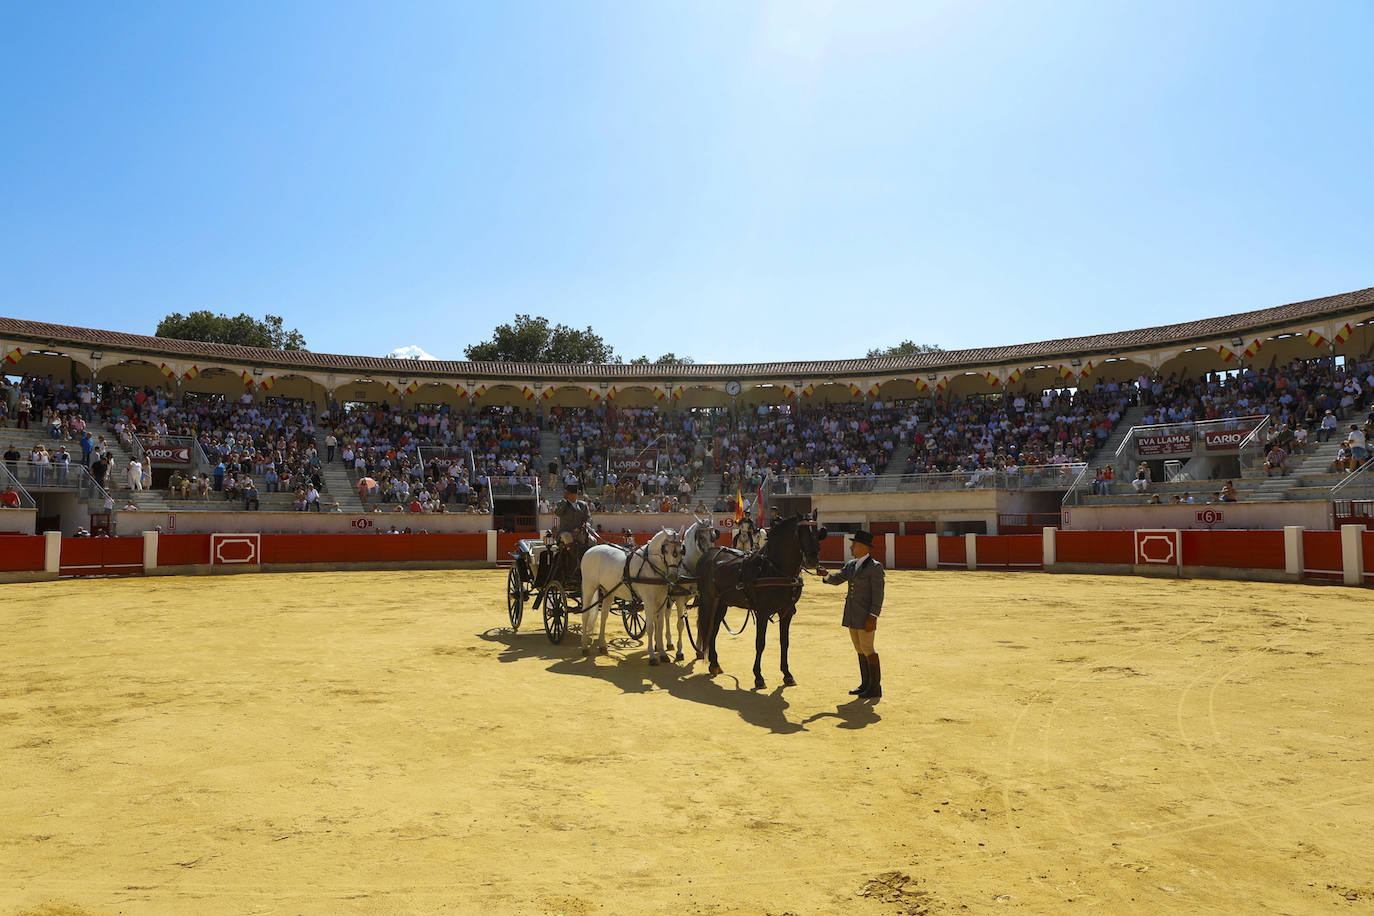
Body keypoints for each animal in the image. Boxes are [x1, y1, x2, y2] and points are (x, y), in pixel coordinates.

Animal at [582, 527, 684, 661]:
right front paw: (652, 656)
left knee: (604, 616)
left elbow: (660, 626)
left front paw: (662, 653)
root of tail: (589, 550)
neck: (651, 566)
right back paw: (585, 646)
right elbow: (650, 627)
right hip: (589, 588)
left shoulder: (661, 600)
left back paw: (602, 645)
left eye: (681, 551)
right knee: (585, 614)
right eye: (665, 550)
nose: (672, 576)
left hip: (608, 591)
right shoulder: (648, 600)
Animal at [697, 516, 824, 686]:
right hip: (709, 601)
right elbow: (760, 643)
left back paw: (715, 664)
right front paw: (758, 676)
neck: (778, 570)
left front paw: (787, 674)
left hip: (721, 604)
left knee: (714, 629)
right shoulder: (763, 612)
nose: (812, 559)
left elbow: (785, 642)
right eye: (800, 532)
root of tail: (709, 554)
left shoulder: (787, 612)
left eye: (817, 531)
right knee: (710, 628)